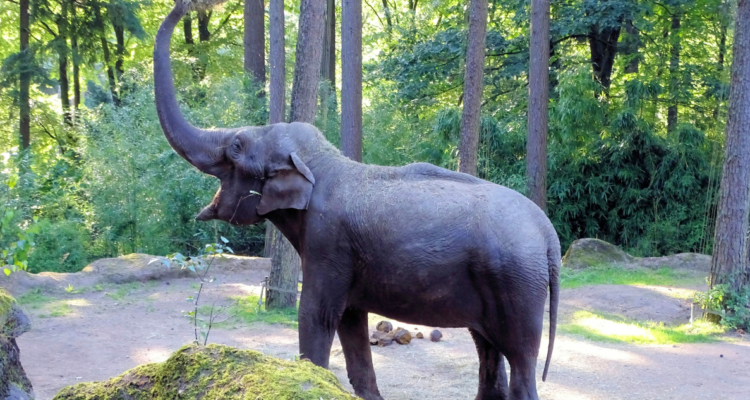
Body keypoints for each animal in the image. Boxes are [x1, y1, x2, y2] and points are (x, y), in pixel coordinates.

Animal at [154, 3, 559, 400]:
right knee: (488, 346)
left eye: (236, 147)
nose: (190, 5)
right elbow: (350, 318)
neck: (321, 161)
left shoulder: (328, 242)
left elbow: (316, 314)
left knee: (520, 358)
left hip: (517, 284)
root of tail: (548, 234)